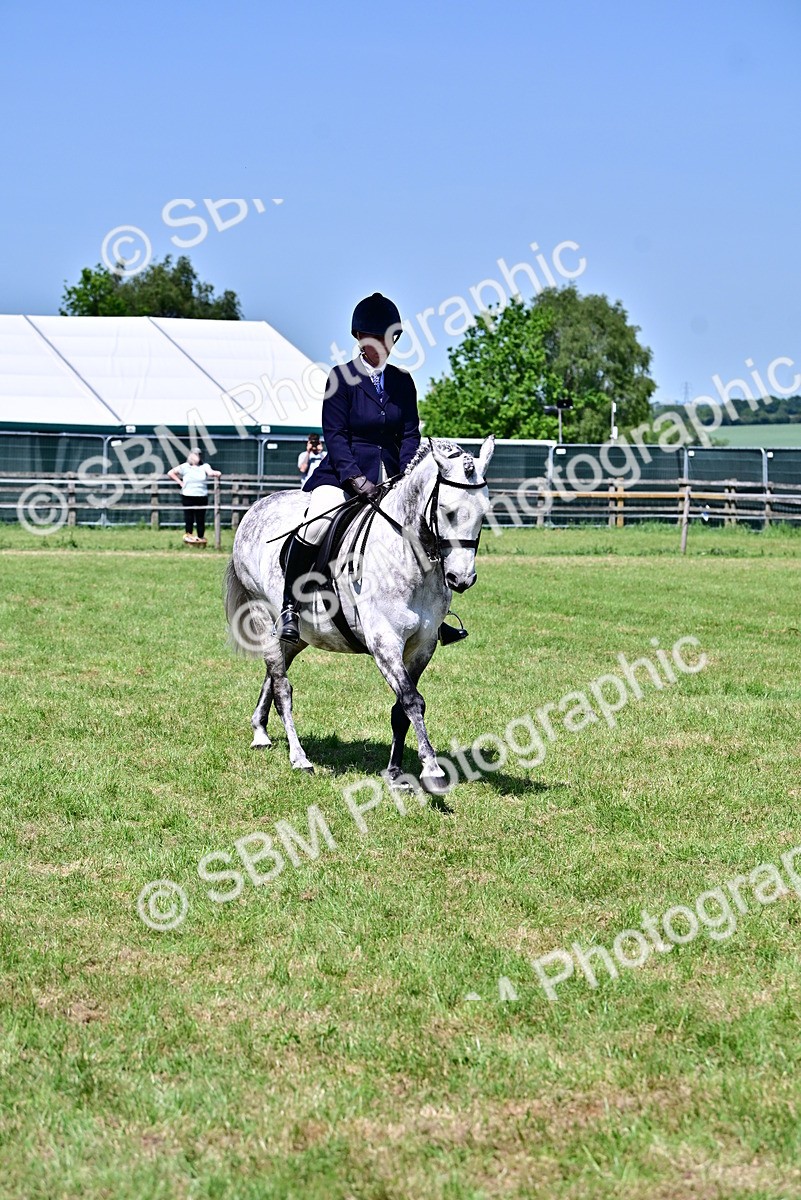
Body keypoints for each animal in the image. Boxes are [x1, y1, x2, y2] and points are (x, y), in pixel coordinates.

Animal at [224, 435, 494, 793]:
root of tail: (256, 508)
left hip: (297, 636)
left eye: (484, 514)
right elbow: (412, 701)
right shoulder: (384, 642)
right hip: (262, 614)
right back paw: (299, 758)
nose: (461, 579)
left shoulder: (423, 646)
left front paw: (395, 774)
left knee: (273, 673)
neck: (410, 557)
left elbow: (401, 708)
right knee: (282, 687)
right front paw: (432, 769)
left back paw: (260, 732)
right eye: (448, 512)